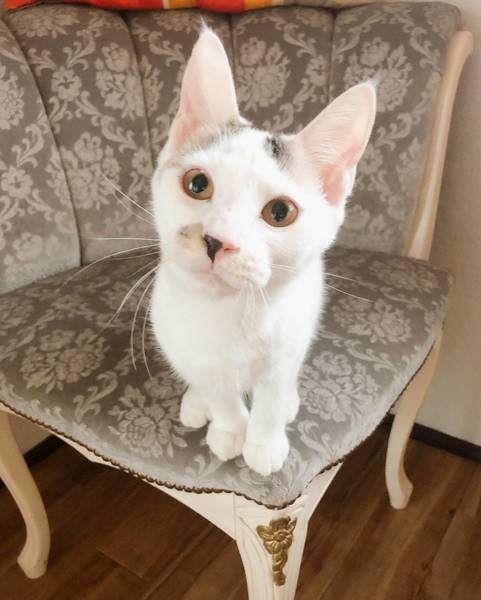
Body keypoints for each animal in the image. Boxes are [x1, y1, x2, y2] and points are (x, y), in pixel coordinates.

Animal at [150, 27, 376, 476]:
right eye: (197, 184)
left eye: (280, 212)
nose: (216, 240)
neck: (228, 313)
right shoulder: (191, 347)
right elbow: (219, 391)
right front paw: (230, 430)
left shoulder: (287, 343)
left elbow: (271, 393)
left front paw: (265, 443)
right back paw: (197, 404)